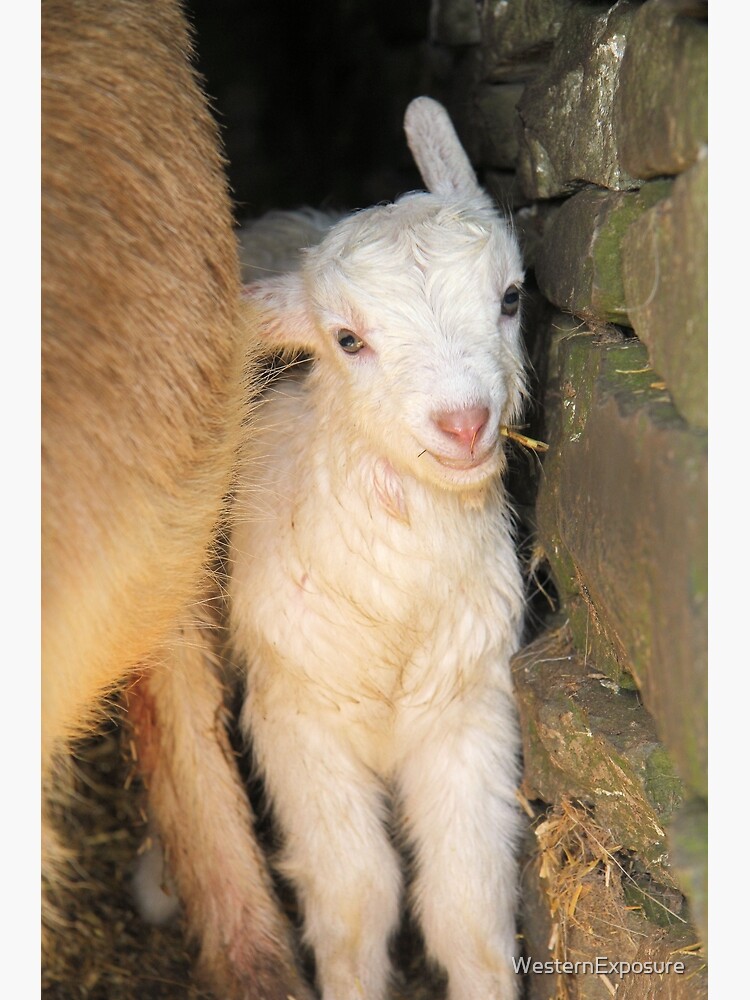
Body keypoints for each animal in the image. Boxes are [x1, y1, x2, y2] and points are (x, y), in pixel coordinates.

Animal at [232, 95, 524, 1000]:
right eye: (347, 340)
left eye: (510, 298)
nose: (464, 422)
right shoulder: (298, 719)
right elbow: (357, 897)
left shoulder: (467, 711)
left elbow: (467, 907)